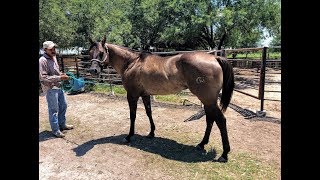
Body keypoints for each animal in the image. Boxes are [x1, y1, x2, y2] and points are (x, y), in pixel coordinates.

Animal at [89, 34, 234, 162]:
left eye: (101, 53)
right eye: (90, 53)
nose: (93, 71)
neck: (132, 62)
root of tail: (215, 58)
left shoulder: (132, 95)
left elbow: (133, 115)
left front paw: (129, 136)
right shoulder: (145, 94)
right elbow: (149, 112)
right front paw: (151, 133)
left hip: (208, 100)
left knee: (221, 121)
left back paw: (224, 154)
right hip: (208, 101)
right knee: (210, 119)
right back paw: (202, 144)